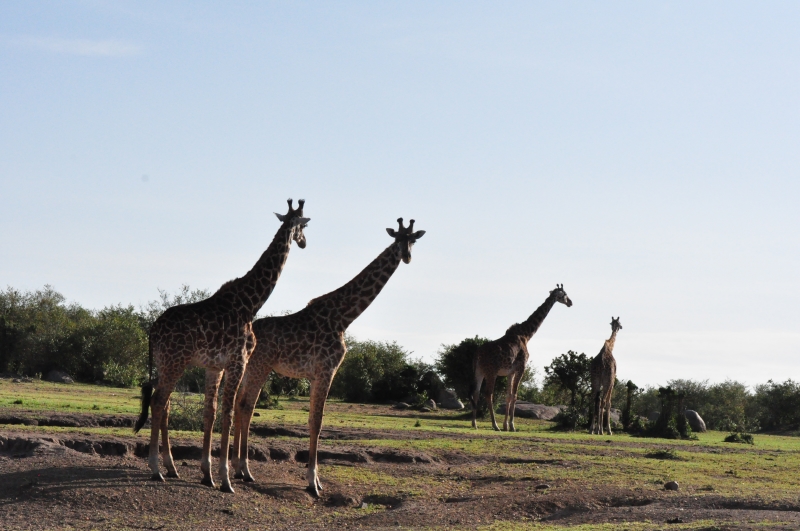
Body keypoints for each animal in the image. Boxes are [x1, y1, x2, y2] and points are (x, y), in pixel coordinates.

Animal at [133, 199, 310, 494]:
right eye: (304, 226)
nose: (304, 243)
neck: (251, 303)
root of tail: (152, 331)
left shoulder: (214, 367)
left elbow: (211, 412)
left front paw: (208, 474)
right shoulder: (238, 361)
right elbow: (227, 412)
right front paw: (226, 479)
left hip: (164, 362)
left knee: (164, 403)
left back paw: (170, 467)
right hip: (175, 361)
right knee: (158, 401)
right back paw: (156, 469)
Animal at [231, 218, 425, 497]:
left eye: (413, 241)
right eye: (397, 239)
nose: (407, 256)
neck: (344, 317)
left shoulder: (316, 375)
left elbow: (313, 420)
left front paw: (314, 479)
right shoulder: (326, 370)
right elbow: (317, 422)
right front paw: (313, 482)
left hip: (250, 368)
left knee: (239, 403)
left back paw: (238, 468)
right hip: (261, 366)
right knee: (247, 405)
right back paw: (245, 470)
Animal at [471, 285, 573, 432]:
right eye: (564, 294)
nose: (570, 302)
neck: (526, 334)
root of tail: (477, 354)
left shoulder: (510, 372)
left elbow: (508, 396)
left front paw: (506, 425)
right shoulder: (521, 367)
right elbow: (515, 395)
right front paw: (512, 426)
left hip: (479, 371)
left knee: (476, 392)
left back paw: (474, 423)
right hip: (491, 372)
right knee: (488, 394)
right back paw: (495, 425)